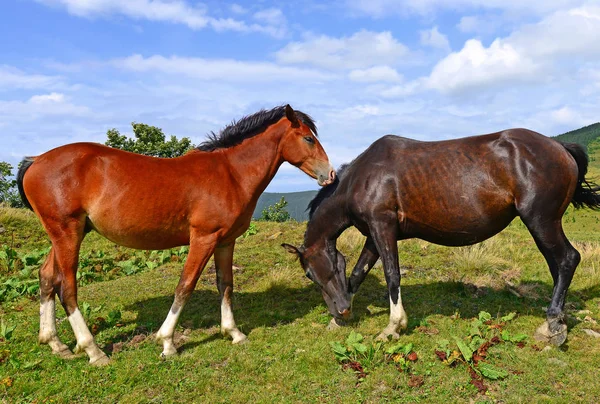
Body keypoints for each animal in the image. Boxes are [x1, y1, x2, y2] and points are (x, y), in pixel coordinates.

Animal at [18, 105, 336, 366]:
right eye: (308, 138)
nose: (330, 174)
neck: (230, 173)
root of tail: (36, 160)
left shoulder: (225, 241)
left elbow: (226, 285)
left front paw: (233, 332)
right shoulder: (204, 239)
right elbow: (185, 286)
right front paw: (167, 342)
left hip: (64, 235)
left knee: (46, 277)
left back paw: (56, 344)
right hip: (67, 234)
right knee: (67, 288)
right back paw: (93, 351)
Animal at [284, 130, 600, 348]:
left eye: (309, 273)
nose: (341, 309)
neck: (362, 178)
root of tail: (560, 147)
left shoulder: (382, 227)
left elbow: (392, 275)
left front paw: (393, 327)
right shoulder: (374, 236)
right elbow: (358, 273)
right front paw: (338, 321)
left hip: (541, 221)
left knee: (568, 259)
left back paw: (553, 325)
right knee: (557, 265)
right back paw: (555, 320)